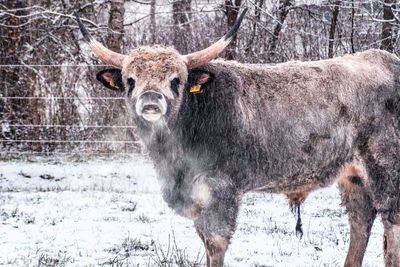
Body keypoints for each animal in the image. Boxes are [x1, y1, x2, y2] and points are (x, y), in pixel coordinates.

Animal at [75, 8, 400, 267]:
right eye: (130, 80)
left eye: (176, 80)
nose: (151, 101)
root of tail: (385, 58)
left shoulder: (221, 192)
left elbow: (215, 244)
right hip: (353, 175)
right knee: (361, 221)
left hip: (386, 169)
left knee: (391, 223)